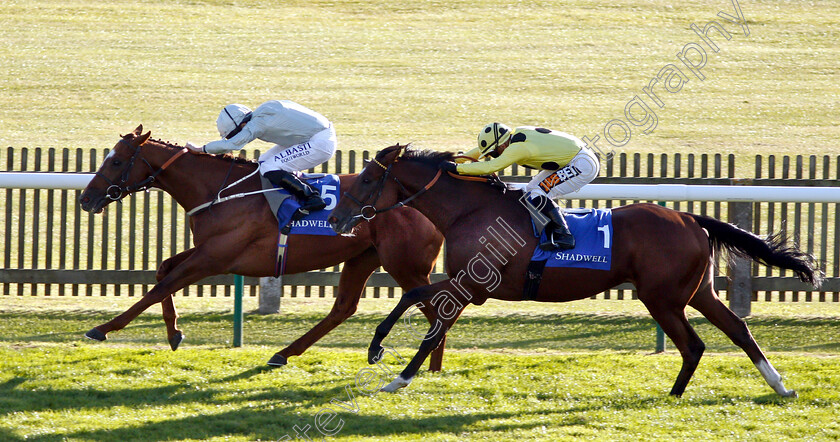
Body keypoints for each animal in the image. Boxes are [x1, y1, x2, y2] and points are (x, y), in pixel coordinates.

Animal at [77, 125, 452, 370]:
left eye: (115, 162)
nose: (85, 199)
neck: (223, 190)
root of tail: (419, 201)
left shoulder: (214, 258)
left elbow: (159, 287)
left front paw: (103, 329)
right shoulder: (208, 250)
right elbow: (163, 271)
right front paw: (174, 332)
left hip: (405, 265)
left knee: (438, 310)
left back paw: (431, 366)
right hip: (364, 257)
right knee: (343, 308)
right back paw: (284, 353)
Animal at [328, 145, 820, 398]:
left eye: (368, 179)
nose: (336, 219)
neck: (471, 210)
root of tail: (691, 217)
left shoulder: (472, 283)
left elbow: (427, 317)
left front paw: (393, 371)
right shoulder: (467, 283)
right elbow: (416, 301)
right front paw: (379, 350)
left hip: (662, 297)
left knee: (694, 344)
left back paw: (675, 395)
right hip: (697, 292)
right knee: (737, 329)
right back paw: (779, 386)